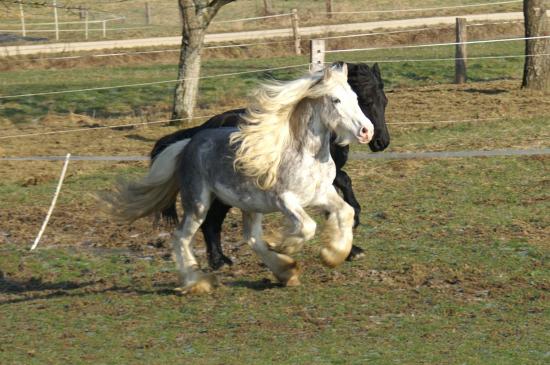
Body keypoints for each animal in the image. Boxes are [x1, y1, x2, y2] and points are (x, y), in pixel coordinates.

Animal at [153, 61, 390, 268]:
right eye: (365, 100)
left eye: (384, 101)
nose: (379, 140)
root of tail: (203, 129)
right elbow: (343, 186)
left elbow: (343, 198)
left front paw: (348, 244)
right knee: (210, 221)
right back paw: (219, 261)